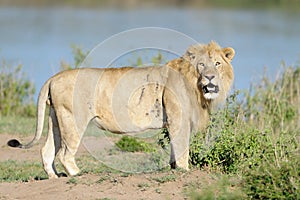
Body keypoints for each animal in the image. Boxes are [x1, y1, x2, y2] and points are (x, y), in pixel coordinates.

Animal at [7, 40, 234, 178]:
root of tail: (53, 77)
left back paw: (55, 177)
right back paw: (77, 174)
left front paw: (172, 167)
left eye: (217, 63)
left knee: (46, 150)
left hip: (56, 118)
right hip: (73, 119)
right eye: (202, 65)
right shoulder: (178, 119)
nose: (210, 77)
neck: (196, 86)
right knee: (64, 153)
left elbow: (174, 147)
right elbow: (182, 147)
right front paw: (184, 170)